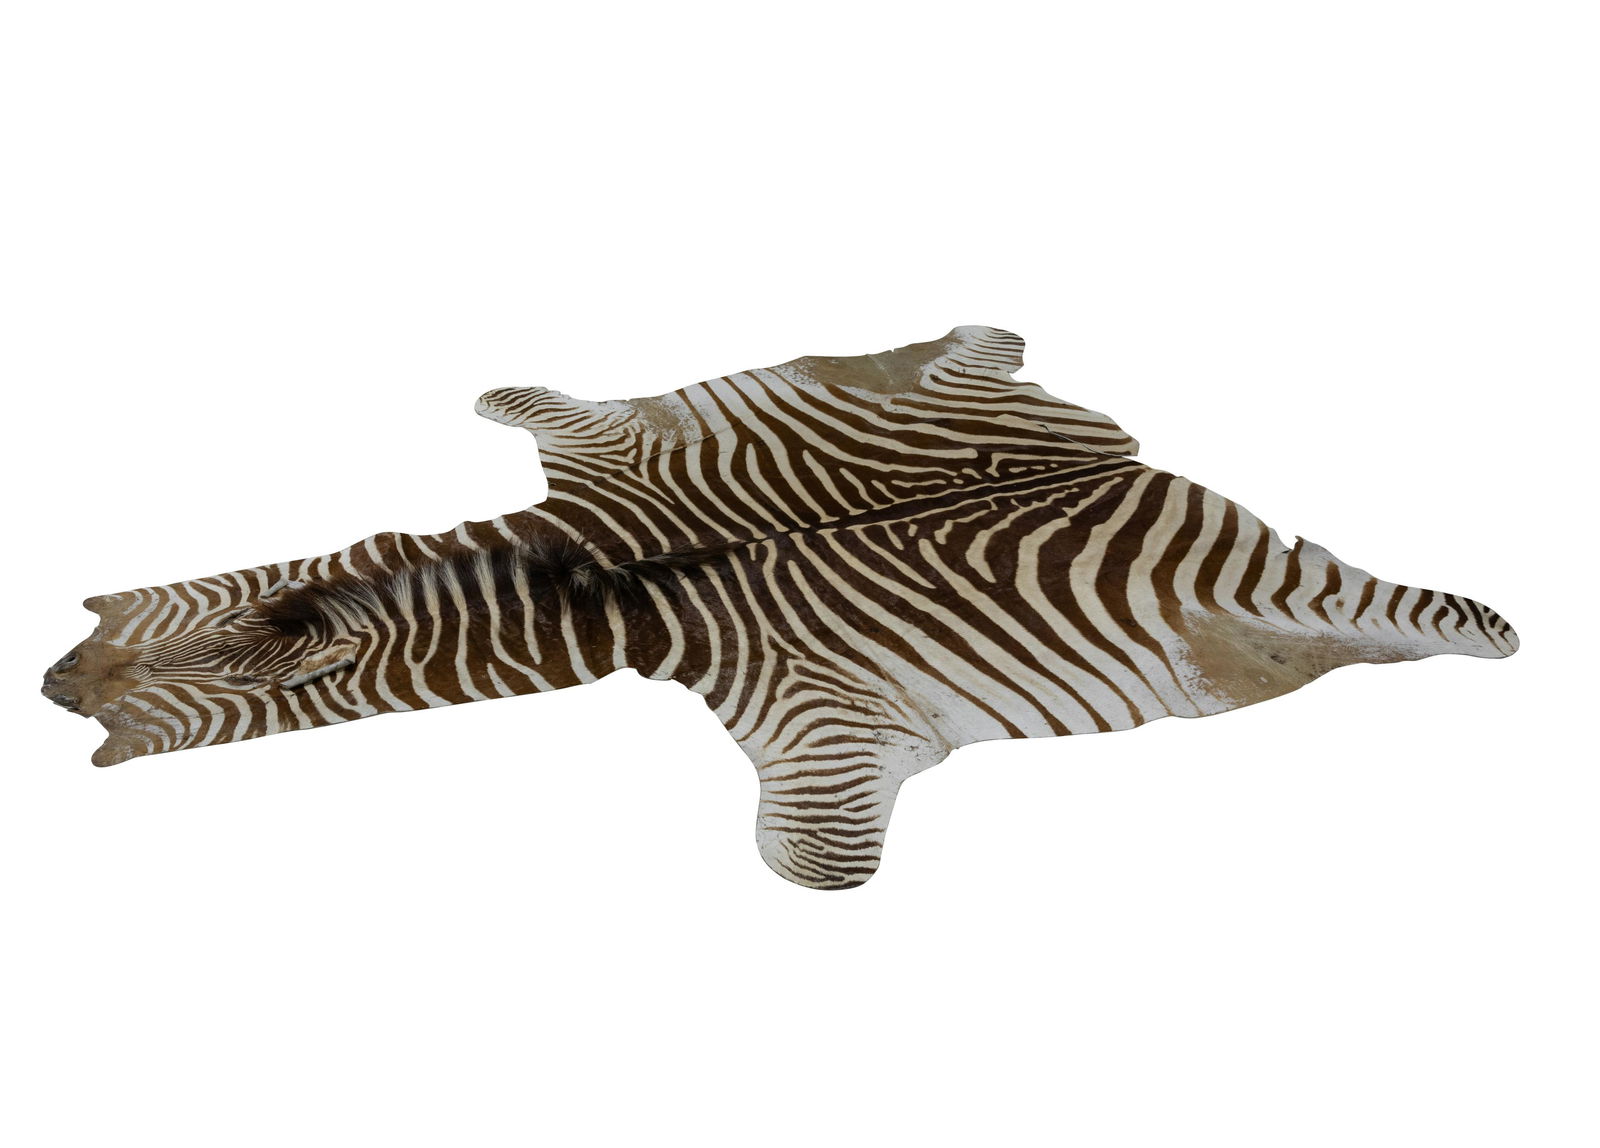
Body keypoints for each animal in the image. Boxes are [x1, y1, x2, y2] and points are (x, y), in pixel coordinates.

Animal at [42, 326, 1518, 888]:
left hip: (1292, 593)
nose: (55, 687)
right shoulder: (609, 447)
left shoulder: (820, 726)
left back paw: (1473, 624)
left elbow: (812, 860)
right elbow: (537, 404)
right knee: (967, 343)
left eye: (253, 685)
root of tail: (1133, 454)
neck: (605, 577)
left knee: (1434, 617)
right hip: (957, 378)